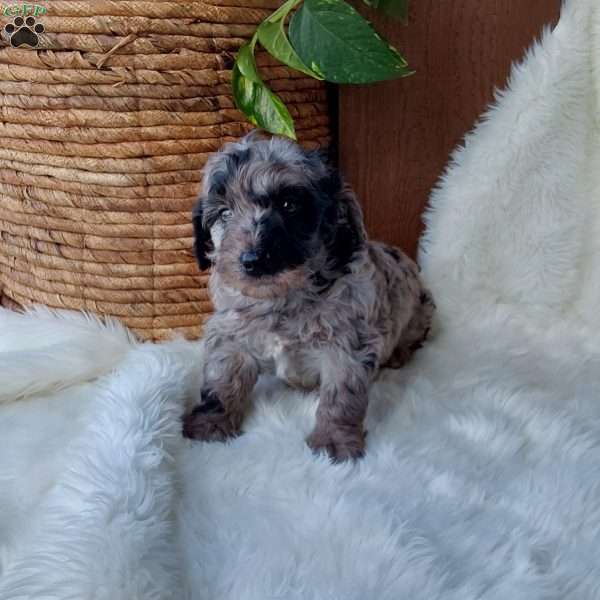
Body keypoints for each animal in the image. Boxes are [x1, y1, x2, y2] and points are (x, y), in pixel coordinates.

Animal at [180, 132, 434, 460]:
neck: (283, 299)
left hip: (421, 309)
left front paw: (333, 443)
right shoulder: (230, 334)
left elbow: (341, 397)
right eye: (224, 213)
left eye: (289, 204)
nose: (252, 260)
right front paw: (210, 425)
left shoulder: (347, 345)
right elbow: (221, 380)